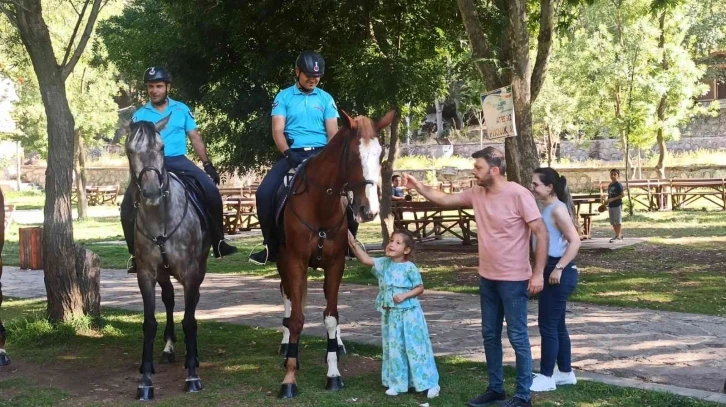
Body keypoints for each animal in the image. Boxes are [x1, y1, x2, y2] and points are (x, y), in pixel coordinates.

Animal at [125, 116, 209, 400]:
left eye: (161, 148)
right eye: (130, 151)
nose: (151, 193)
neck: (160, 220)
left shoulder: (191, 273)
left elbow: (190, 321)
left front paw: (193, 376)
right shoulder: (146, 274)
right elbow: (149, 323)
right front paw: (145, 382)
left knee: (190, 304)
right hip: (163, 272)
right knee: (170, 299)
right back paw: (166, 350)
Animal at [278, 109, 392, 398]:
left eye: (380, 155)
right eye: (352, 155)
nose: (369, 210)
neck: (321, 203)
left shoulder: (335, 264)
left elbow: (331, 317)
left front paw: (333, 374)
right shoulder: (295, 262)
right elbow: (296, 319)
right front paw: (289, 377)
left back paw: (337, 346)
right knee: (288, 297)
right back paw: (286, 346)